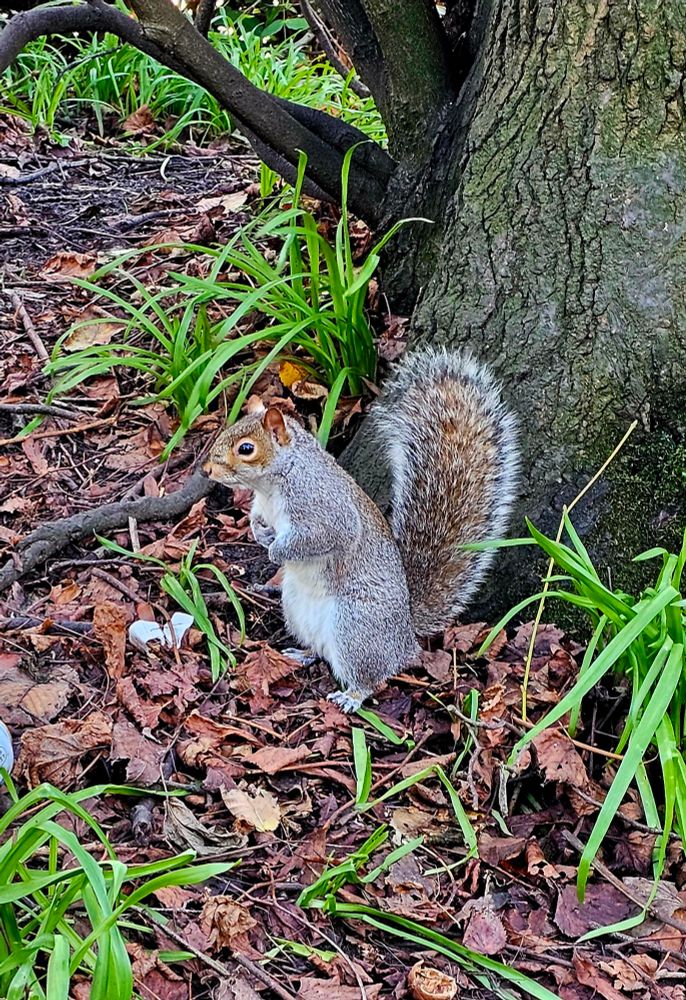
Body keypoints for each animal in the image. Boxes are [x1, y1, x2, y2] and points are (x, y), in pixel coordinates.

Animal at [203, 348, 518, 712]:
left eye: (246, 449)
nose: (207, 469)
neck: (274, 484)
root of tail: (406, 637)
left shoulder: (325, 510)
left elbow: (323, 537)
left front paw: (277, 551)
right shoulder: (262, 505)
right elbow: (256, 518)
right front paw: (259, 534)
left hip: (355, 628)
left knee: (370, 675)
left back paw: (351, 696)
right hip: (297, 609)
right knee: (320, 650)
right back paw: (302, 653)